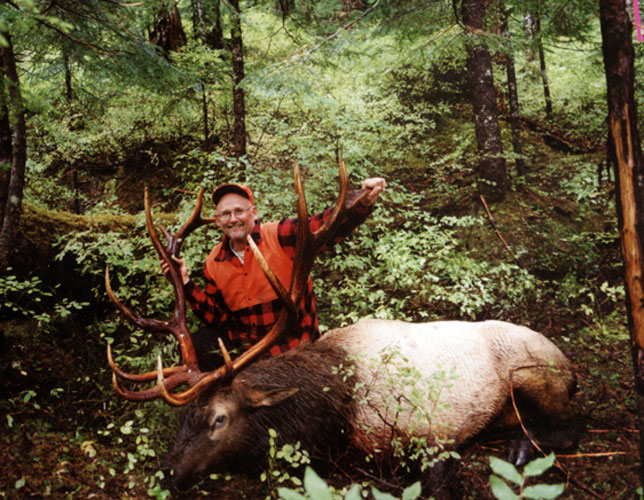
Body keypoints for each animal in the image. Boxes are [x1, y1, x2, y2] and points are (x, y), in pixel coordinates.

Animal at [104, 162, 580, 494]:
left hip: (537, 377)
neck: (332, 416)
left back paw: (523, 447)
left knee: (573, 423)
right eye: (184, 416)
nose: (166, 473)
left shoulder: (432, 439)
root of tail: (570, 366)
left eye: (219, 418)